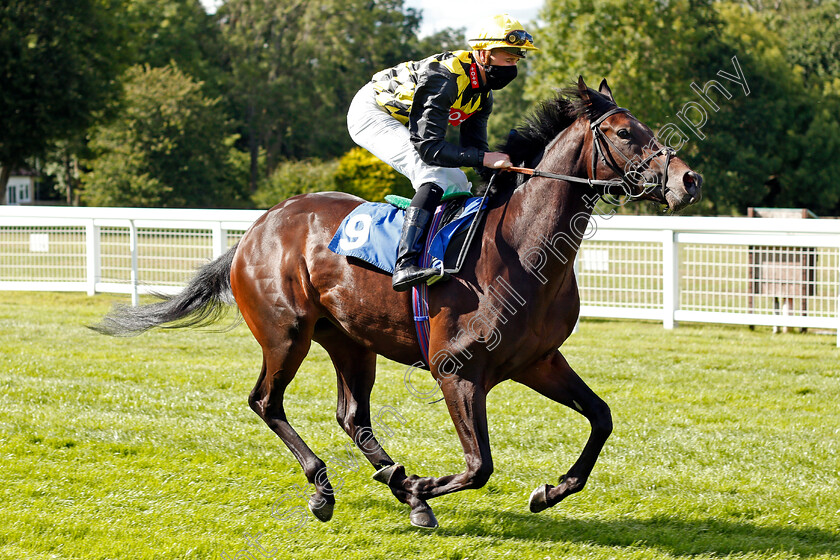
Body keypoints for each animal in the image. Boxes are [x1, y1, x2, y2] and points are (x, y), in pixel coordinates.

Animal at [95, 77, 704, 528]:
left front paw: (549, 491)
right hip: (285, 335)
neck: (523, 248)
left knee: (352, 417)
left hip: (350, 341)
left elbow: (600, 417)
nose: (688, 179)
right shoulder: (456, 370)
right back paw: (331, 488)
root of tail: (257, 228)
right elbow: (479, 465)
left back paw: (390, 479)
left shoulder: (538, 361)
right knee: (266, 402)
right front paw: (422, 488)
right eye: (624, 132)